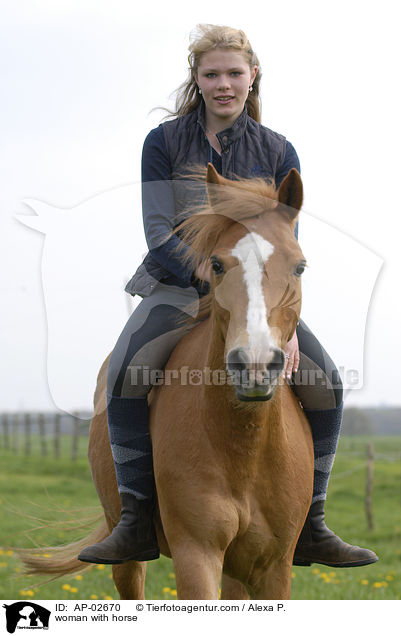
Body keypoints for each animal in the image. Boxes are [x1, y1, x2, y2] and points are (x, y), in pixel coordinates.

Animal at [18, 165, 312, 600]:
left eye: (299, 266)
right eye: (217, 265)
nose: (255, 364)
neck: (242, 445)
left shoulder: (273, 566)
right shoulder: (196, 553)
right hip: (127, 551)